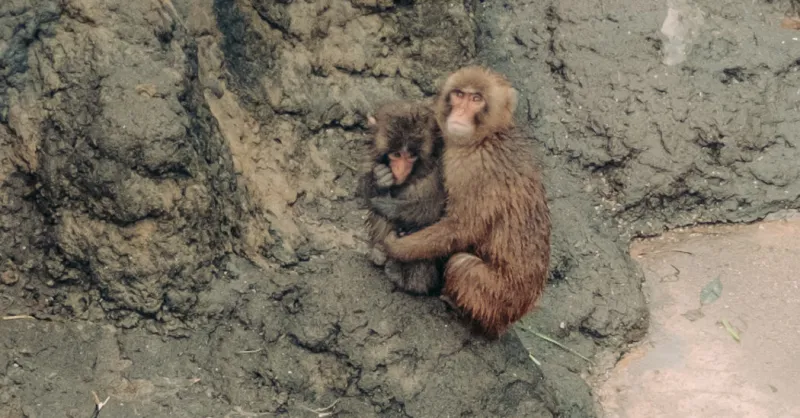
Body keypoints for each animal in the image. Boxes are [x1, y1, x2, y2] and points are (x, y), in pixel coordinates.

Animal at [359, 100, 448, 295]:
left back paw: (412, 280)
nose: (400, 170)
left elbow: (431, 210)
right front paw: (379, 180)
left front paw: (387, 205)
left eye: (411, 156)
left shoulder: (441, 170)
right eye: (396, 154)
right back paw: (378, 253)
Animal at [381, 66, 551, 339]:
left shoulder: (473, 169)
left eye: (476, 99)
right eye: (459, 94)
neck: (486, 137)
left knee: (463, 265)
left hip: (497, 301)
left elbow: (461, 227)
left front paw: (397, 247)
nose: (460, 113)